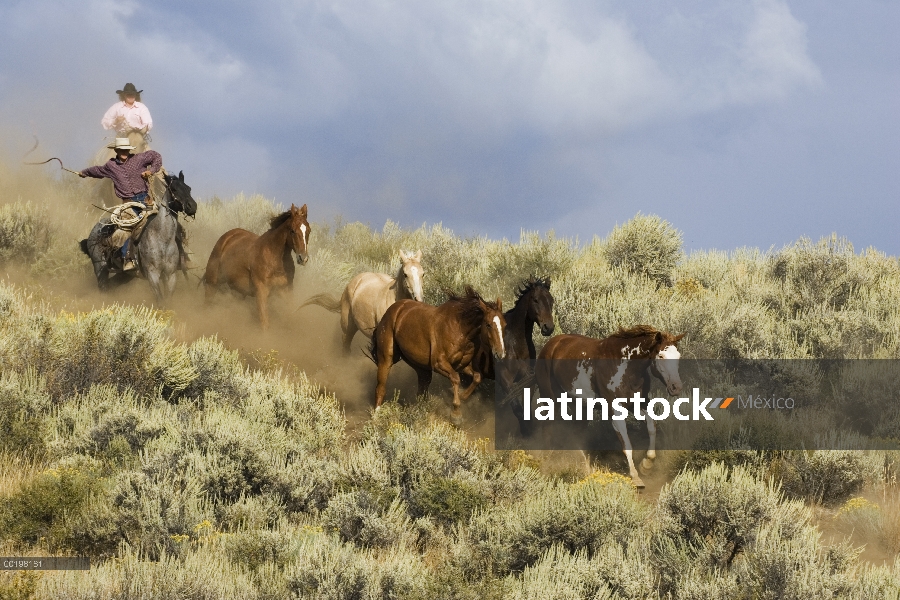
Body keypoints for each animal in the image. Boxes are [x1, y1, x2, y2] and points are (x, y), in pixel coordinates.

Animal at [79, 169, 197, 302]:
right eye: (174, 189)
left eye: (189, 188)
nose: (192, 206)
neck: (162, 239)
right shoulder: (152, 274)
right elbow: (160, 301)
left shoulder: (170, 275)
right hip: (100, 266)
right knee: (103, 286)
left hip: (124, 274)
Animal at [368, 286, 506, 422]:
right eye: (488, 324)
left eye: (504, 325)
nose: (501, 353)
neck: (460, 329)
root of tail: (393, 309)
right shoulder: (439, 364)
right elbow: (455, 378)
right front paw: (456, 414)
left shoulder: (462, 365)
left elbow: (477, 377)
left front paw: (462, 396)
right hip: (386, 358)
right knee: (381, 387)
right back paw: (376, 417)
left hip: (421, 368)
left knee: (421, 391)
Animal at [536, 324, 684, 488]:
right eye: (661, 356)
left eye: (678, 356)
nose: (676, 387)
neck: (625, 367)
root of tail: (550, 344)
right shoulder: (615, 411)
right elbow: (627, 445)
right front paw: (636, 478)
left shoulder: (639, 403)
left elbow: (652, 426)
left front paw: (646, 466)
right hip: (551, 399)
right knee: (547, 429)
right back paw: (545, 463)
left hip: (578, 405)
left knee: (576, 432)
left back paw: (585, 468)